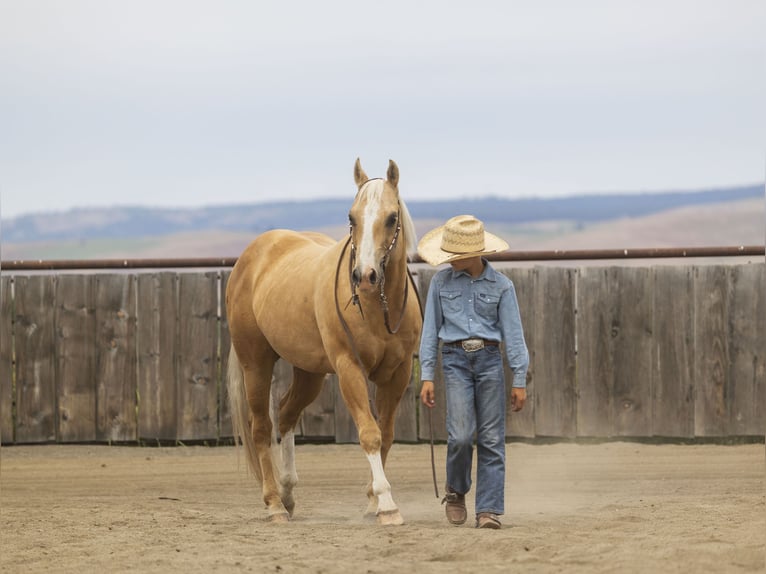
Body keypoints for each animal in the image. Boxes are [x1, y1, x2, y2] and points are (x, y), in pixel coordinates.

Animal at [225, 158, 424, 528]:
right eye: (351, 217)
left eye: (392, 217)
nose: (364, 276)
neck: (376, 308)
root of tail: (253, 254)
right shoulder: (348, 369)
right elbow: (370, 433)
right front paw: (387, 505)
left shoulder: (398, 373)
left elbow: (387, 433)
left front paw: (373, 500)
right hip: (255, 363)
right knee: (261, 427)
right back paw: (274, 504)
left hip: (309, 373)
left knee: (286, 413)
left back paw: (288, 493)